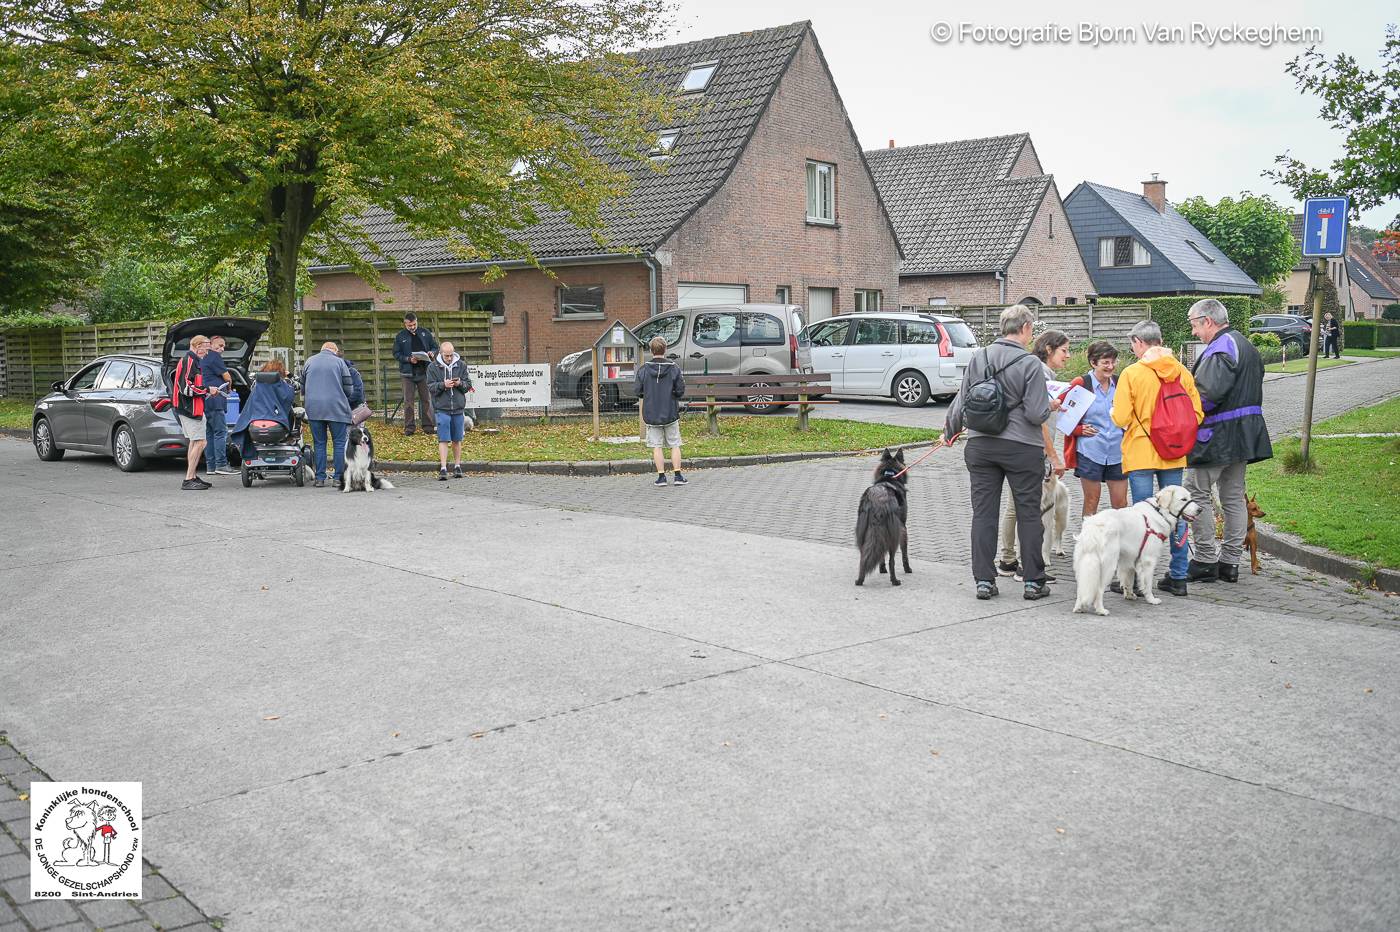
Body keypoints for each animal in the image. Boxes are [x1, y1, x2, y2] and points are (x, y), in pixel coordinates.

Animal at [851, 447, 907, 584]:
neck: (890, 475)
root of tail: (877, 499)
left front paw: (882, 569)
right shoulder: (903, 527)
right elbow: (904, 553)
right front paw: (908, 569)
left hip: (862, 532)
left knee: (863, 556)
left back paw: (860, 580)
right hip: (894, 535)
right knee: (892, 560)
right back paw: (895, 581)